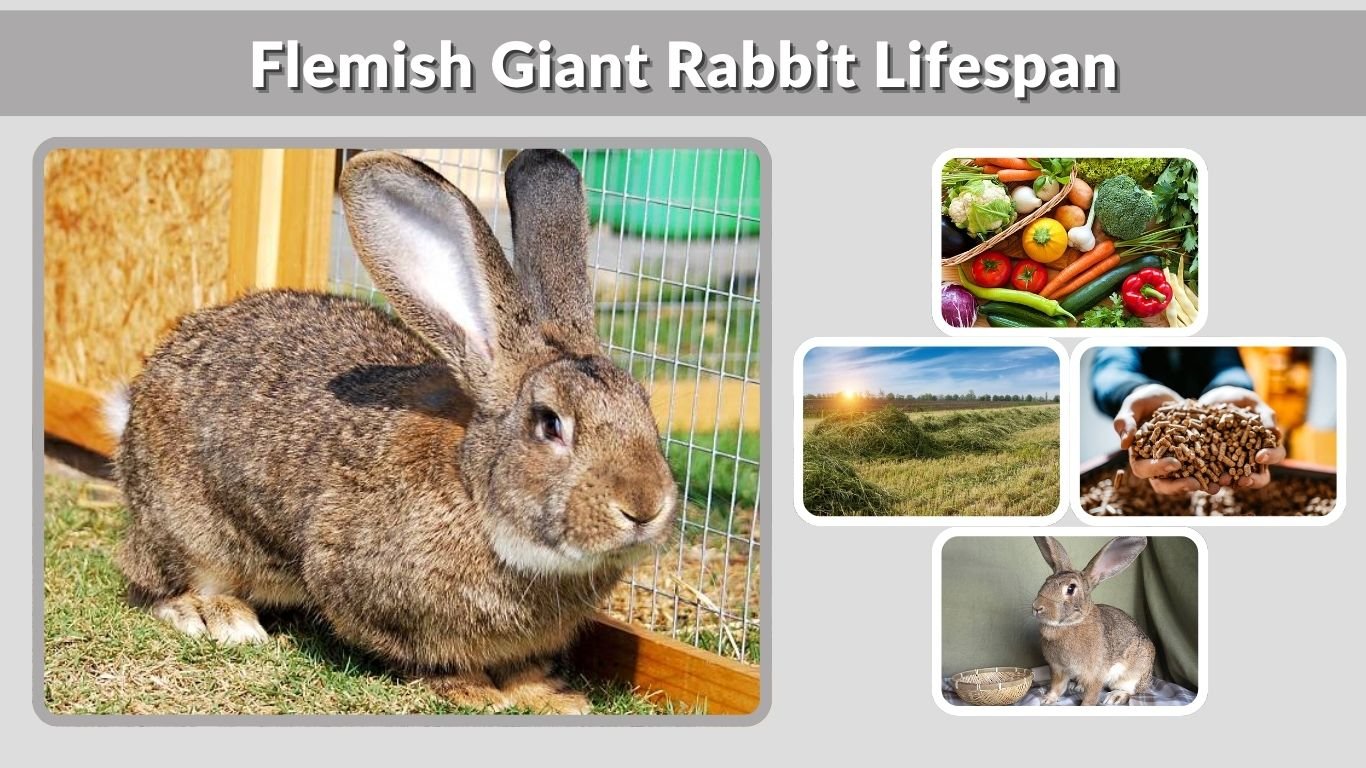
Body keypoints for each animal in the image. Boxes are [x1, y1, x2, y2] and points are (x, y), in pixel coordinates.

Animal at [108, 149, 679, 714]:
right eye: (550, 423)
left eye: (644, 407)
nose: (644, 507)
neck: (474, 491)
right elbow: (429, 656)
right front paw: (474, 692)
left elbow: (524, 668)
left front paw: (552, 698)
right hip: (188, 529)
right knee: (154, 580)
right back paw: (218, 618)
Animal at [1031, 536, 1155, 706]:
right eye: (1047, 581)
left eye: (1071, 588)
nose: (1037, 607)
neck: (1072, 623)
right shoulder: (1058, 669)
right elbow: (1057, 686)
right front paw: (1047, 699)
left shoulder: (1095, 673)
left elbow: (1092, 694)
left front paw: (1085, 706)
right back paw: (1078, 686)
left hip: (1132, 676)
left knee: (1131, 691)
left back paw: (1115, 696)